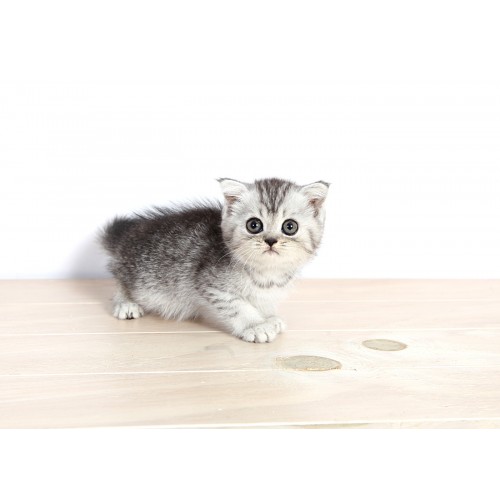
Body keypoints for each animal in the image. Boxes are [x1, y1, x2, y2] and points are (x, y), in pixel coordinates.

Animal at [100, 177, 329, 343]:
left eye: (289, 226)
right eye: (254, 225)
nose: (271, 241)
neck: (266, 274)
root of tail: (127, 237)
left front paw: (268, 317)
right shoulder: (210, 283)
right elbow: (237, 305)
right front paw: (255, 325)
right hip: (140, 278)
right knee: (119, 277)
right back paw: (125, 303)